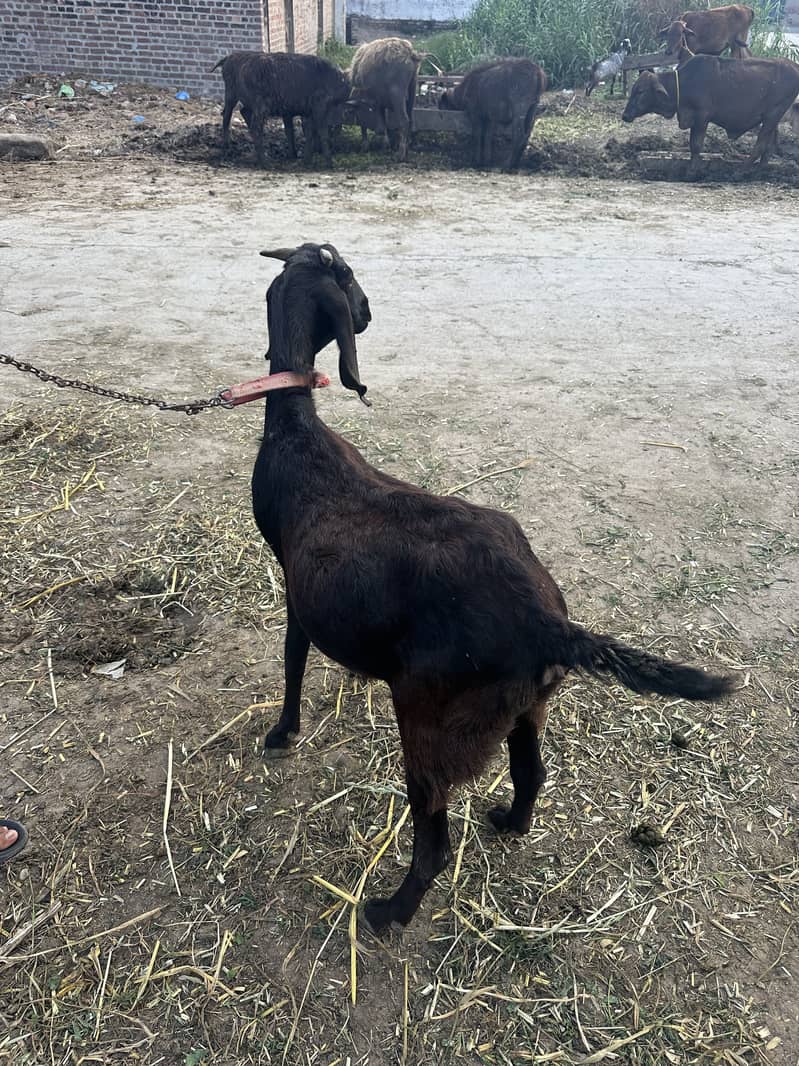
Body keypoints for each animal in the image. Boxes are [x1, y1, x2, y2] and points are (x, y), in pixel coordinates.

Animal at [252, 242, 734, 933]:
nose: (368, 313)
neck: (300, 432)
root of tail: (549, 624)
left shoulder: (295, 589)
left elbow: (292, 660)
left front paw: (282, 732)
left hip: (431, 719)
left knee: (434, 842)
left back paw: (389, 911)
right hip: (524, 705)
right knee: (532, 773)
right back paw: (510, 821)